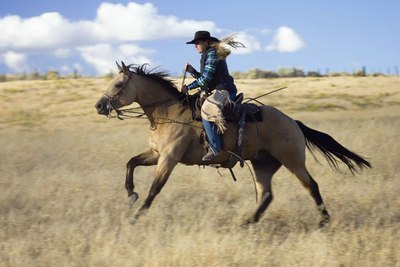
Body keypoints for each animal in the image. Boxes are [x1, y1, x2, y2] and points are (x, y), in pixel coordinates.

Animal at [95, 61, 370, 226]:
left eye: (118, 84)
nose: (99, 106)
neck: (167, 112)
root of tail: (293, 122)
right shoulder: (155, 154)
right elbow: (130, 163)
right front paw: (131, 195)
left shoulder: (169, 158)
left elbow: (155, 188)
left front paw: (136, 217)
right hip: (262, 165)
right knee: (266, 195)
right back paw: (248, 222)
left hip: (293, 161)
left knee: (311, 186)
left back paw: (324, 221)